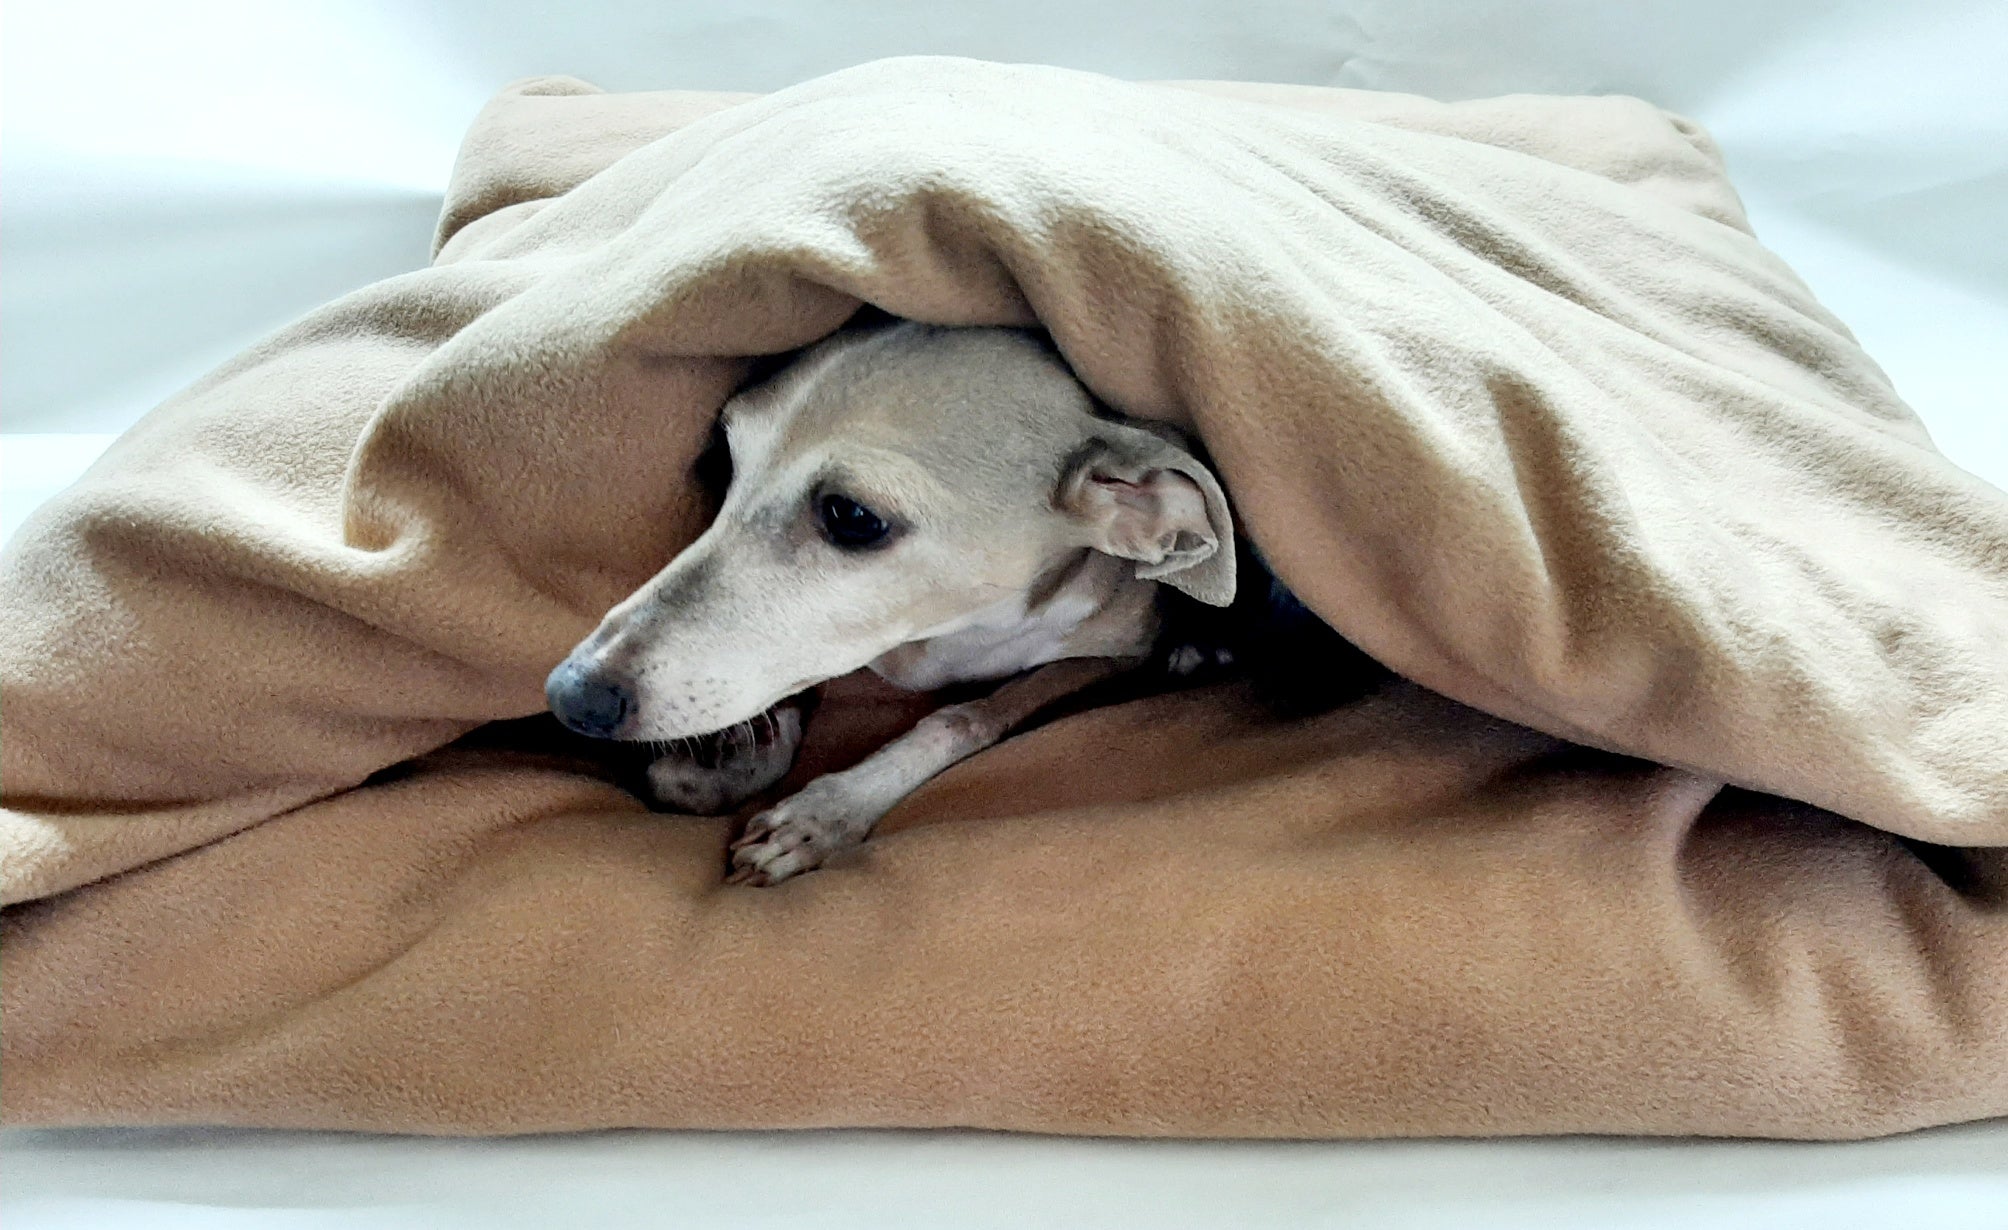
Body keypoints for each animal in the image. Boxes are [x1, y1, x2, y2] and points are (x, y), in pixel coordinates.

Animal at [542, 321, 1381, 886]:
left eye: (853, 516)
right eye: (725, 460)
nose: (572, 696)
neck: (944, 634)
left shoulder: (1101, 658)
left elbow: (966, 716)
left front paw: (826, 811)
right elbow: (800, 675)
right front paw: (731, 762)